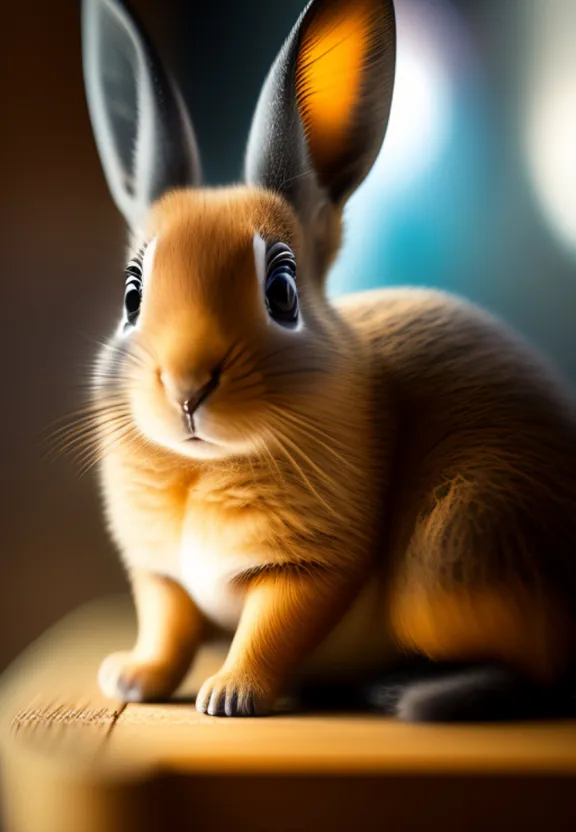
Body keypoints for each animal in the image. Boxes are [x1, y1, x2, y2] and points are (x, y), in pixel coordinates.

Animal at [81, 0, 576, 720]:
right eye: (131, 295)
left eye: (282, 293)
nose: (188, 386)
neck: (203, 468)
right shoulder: (160, 576)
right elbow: (166, 630)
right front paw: (132, 680)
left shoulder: (308, 571)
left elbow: (270, 631)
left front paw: (230, 696)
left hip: (451, 559)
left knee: (539, 671)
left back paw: (415, 693)